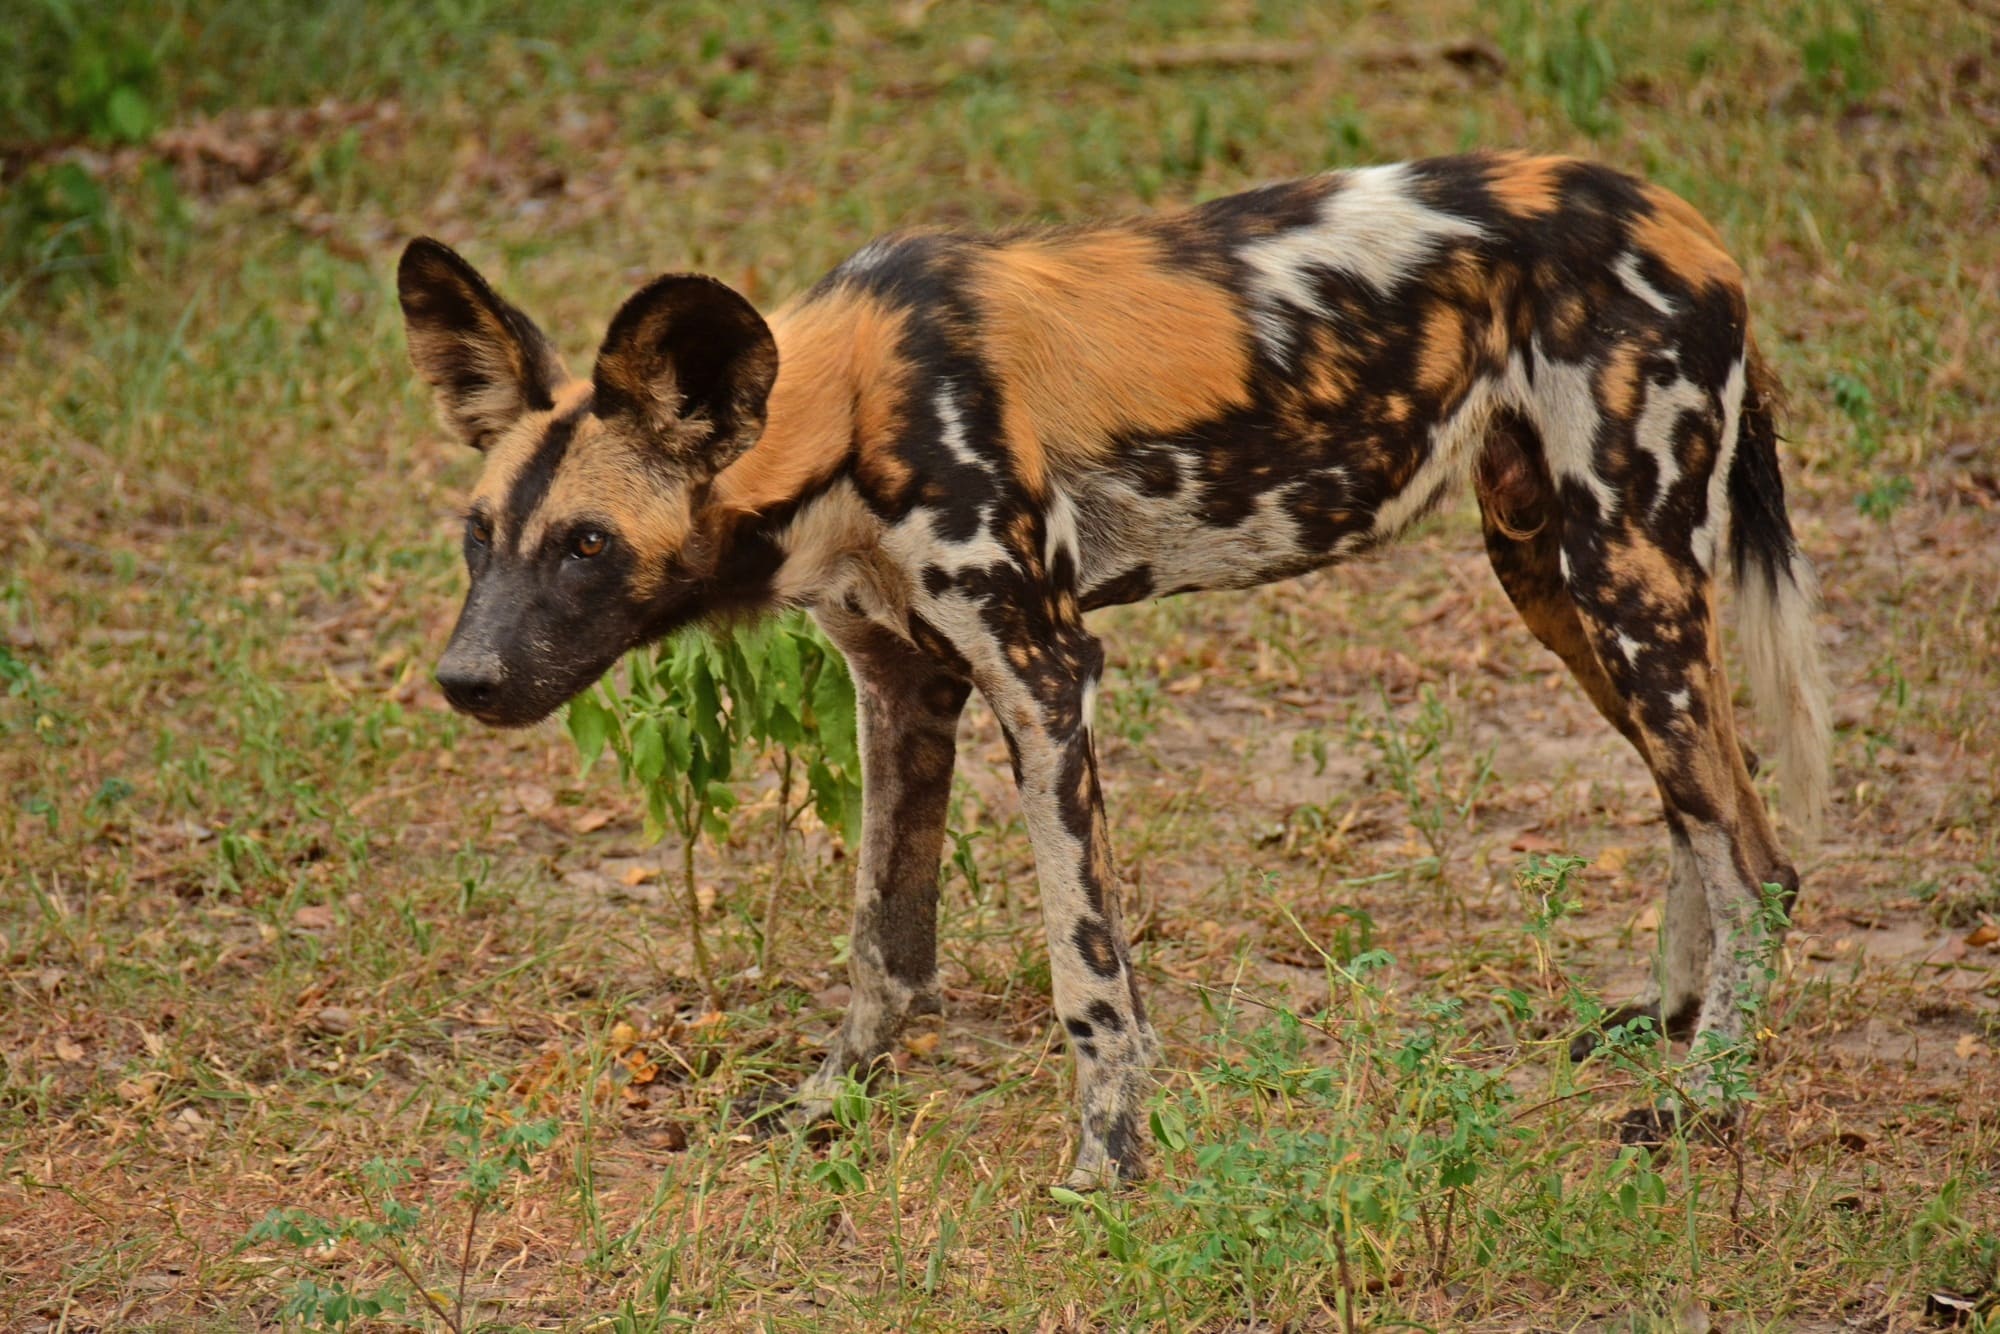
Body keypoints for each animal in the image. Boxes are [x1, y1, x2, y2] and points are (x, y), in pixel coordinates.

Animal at [402, 151, 1832, 1184]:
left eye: (587, 545)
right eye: (479, 537)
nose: (462, 681)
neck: (850, 411)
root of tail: (1684, 221)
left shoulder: (1043, 680)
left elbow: (1087, 977)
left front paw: (1107, 1159)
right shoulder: (900, 690)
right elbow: (880, 940)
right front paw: (830, 1100)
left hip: (1625, 583)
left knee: (1757, 859)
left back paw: (1703, 1101)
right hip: (1557, 583)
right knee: (1696, 805)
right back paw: (1669, 1018)